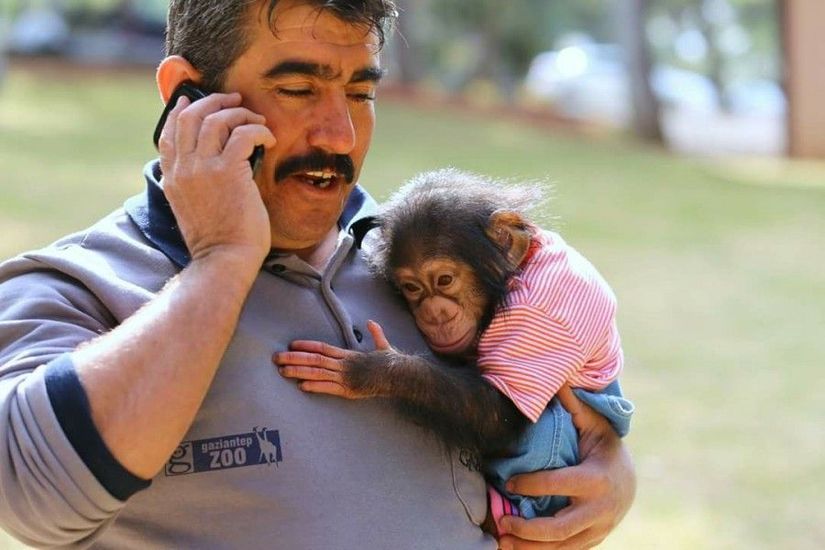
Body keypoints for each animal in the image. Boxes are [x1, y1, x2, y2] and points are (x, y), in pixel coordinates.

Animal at [276, 168, 632, 532]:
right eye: (412, 287)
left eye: (445, 280)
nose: (435, 313)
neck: (518, 271)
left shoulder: (542, 312)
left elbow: (500, 411)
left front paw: (373, 371)